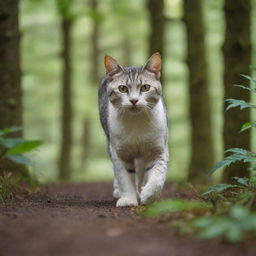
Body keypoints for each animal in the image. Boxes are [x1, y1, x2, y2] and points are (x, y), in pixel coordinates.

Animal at [98, 53, 168, 207]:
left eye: (145, 87)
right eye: (122, 88)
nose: (134, 100)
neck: (136, 123)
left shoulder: (158, 150)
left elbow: (158, 174)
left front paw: (148, 195)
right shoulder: (118, 152)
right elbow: (124, 177)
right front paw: (128, 199)